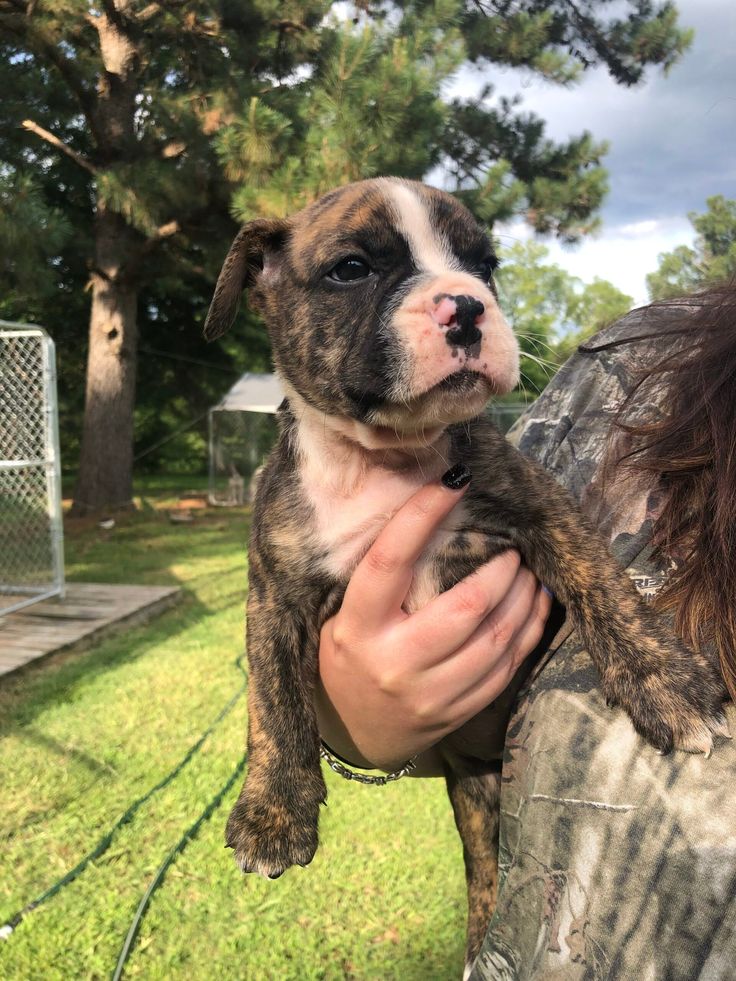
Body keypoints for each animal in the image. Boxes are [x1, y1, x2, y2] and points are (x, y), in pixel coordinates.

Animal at [203, 176, 732, 964]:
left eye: (485, 266)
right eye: (352, 269)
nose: (467, 304)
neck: (390, 460)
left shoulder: (544, 509)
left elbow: (605, 586)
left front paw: (665, 682)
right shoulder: (275, 592)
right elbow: (272, 702)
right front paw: (272, 811)